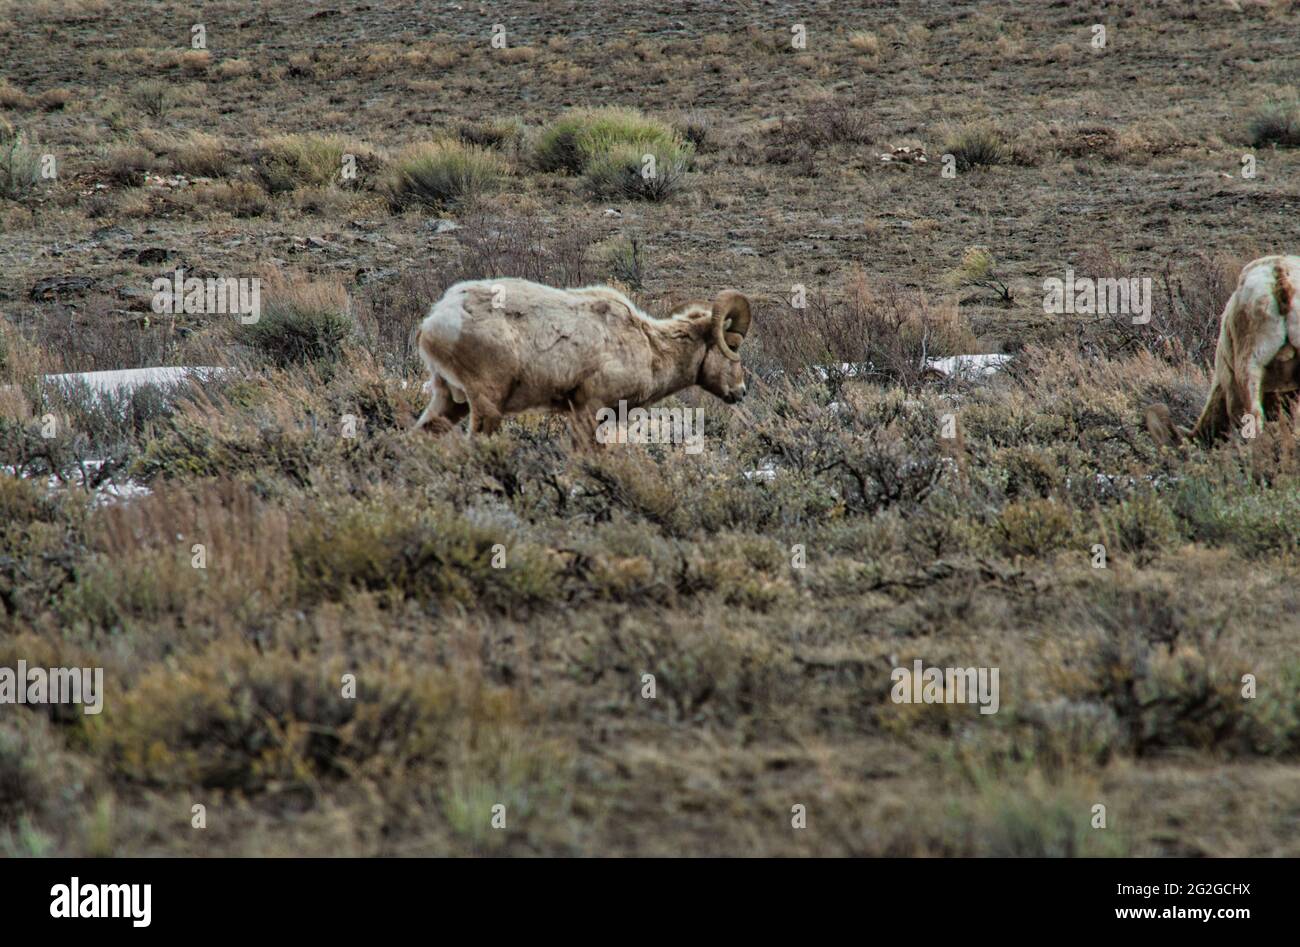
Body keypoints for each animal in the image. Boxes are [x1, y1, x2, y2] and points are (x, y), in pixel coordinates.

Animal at [414, 278, 752, 448]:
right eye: (733, 346)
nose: (741, 391)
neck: (651, 348)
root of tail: (435, 320)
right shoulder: (590, 409)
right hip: (487, 405)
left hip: (450, 400)